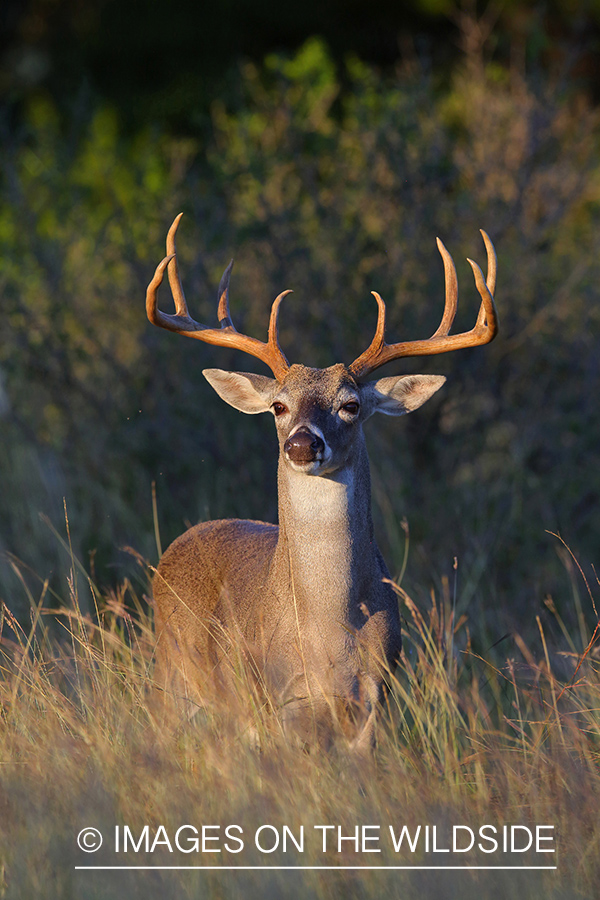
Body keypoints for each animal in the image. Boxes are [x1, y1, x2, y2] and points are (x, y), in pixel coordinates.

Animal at [146, 218, 496, 752]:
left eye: (350, 404)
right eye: (278, 405)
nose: (302, 444)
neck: (329, 636)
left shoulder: (375, 700)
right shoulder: (276, 700)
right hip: (174, 681)